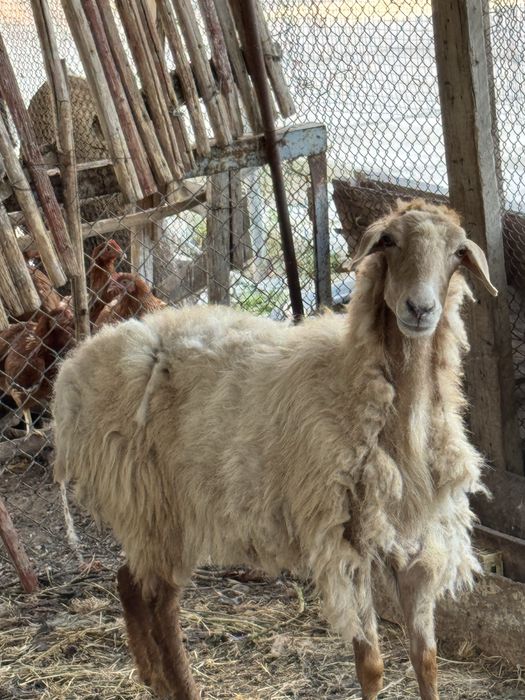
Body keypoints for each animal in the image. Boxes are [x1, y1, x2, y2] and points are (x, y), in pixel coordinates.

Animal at [52, 199, 496, 700]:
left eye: (457, 252)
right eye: (388, 241)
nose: (419, 309)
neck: (355, 383)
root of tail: (80, 362)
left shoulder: (417, 545)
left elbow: (426, 660)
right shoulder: (344, 544)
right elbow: (373, 665)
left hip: (154, 515)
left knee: (130, 582)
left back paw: (152, 676)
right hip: (154, 504)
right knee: (160, 602)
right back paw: (180, 685)